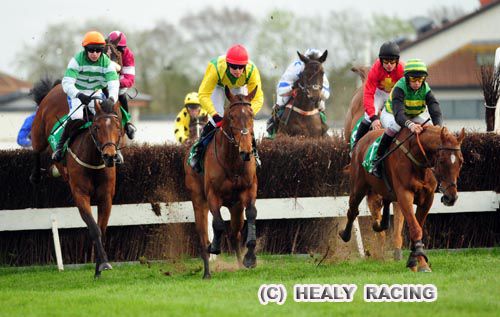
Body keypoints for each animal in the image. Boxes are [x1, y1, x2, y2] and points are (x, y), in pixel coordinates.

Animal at [29, 77, 124, 276]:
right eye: (96, 127)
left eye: (118, 127)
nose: (110, 156)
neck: (94, 161)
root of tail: (55, 87)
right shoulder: (80, 195)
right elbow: (94, 229)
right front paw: (104, 264)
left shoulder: (106, 197)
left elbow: (102, 229)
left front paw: (99, 268)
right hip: (39, 131)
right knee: (36, 148)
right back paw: (36, 175)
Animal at [186, 85, 260, 278]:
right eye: (232, 116)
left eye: (251, 115)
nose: (246, 150)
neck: (232, 161)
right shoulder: (212, 195)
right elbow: (218, 224)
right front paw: (214, 247)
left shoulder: (249, 189)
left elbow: (251, 214)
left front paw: (250, 258)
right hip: (199, 202)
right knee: (203, 235)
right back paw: (207, 272)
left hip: (235, 207)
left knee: (235, 234)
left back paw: (240, 265)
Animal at [340, 126, 464, 272]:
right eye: (441, 161)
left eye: (461, 161)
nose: (451, 197)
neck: (418, 160)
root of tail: (361, 140)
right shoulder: (405, 195)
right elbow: (416, 228)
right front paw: (422, 264)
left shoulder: (428, 198)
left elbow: (417, 227)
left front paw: (416, 261)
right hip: (358, 187)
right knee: (353, 211)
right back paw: (345, 234)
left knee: (384, 206)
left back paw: (378, 224)